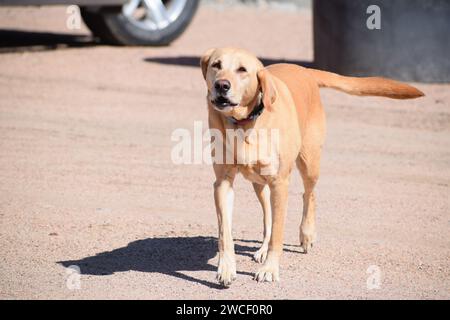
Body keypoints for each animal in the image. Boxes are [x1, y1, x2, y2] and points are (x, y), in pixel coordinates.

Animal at [202, 46, 424, 286]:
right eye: (216, 65)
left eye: (242, 70)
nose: (221, 85)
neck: (244, 123)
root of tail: (305, 70)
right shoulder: (223, 183)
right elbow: (225, 233)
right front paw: (226, 268)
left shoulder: (280, 183)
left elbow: (278, 234)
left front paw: (270, 269)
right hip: (259, 182)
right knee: (268, 214)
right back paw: (262, 248)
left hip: (309, 164)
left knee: (309, 195)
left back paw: (306, 234)